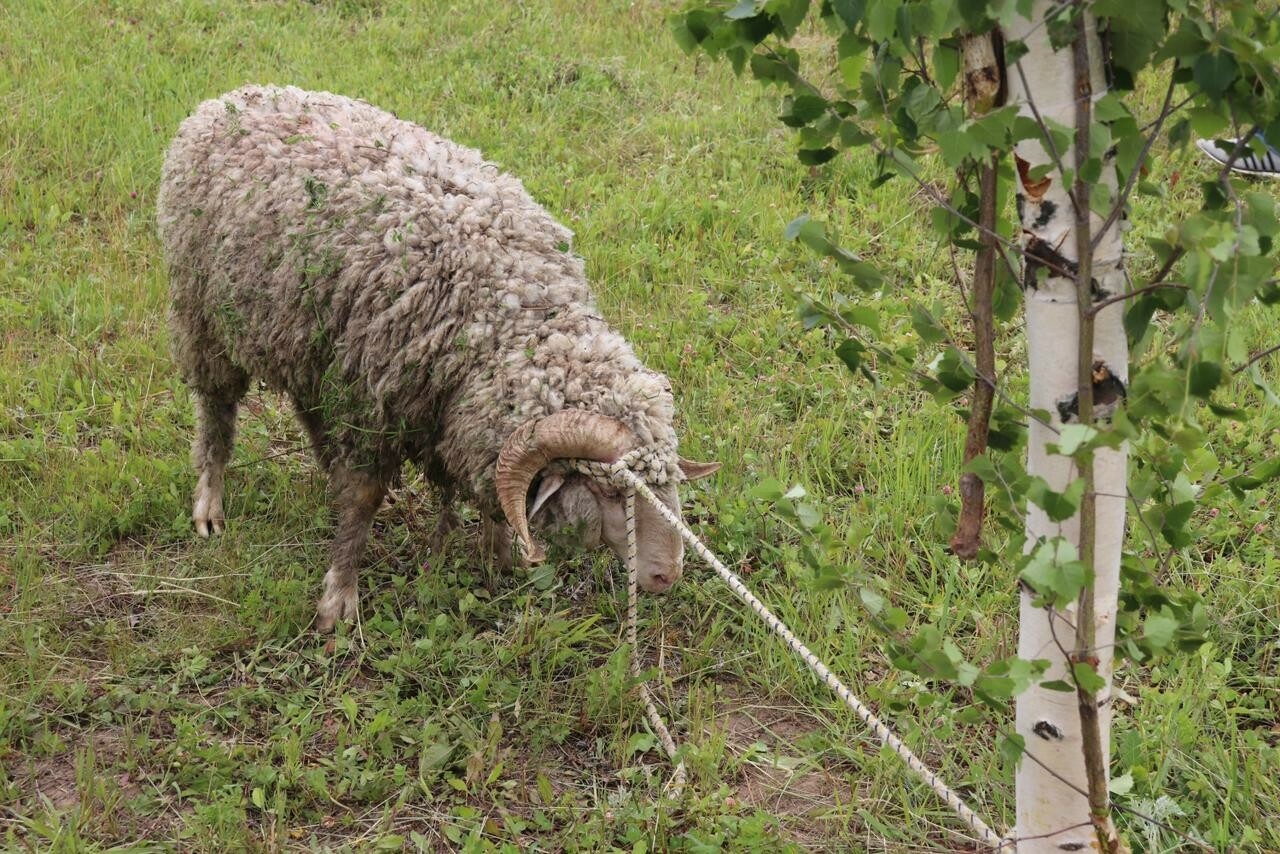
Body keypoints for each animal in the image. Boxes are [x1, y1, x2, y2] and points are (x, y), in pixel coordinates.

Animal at [157, 85, 721, 627]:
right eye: (611, 492)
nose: (667, 576)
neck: (508, 314)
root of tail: (226, 100)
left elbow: (494, 491)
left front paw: (499, 556)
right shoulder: (375, 402)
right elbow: (361, 502)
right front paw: (339, 600)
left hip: (304, 339)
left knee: (307, 405)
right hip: (204, 315)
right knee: (217, 411)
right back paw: (210, 505)